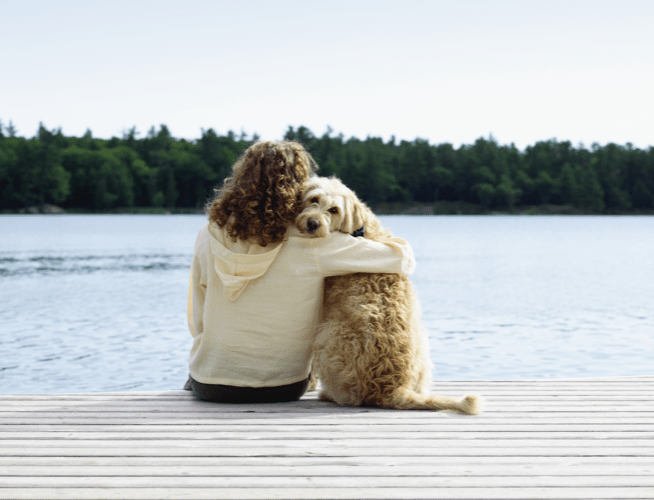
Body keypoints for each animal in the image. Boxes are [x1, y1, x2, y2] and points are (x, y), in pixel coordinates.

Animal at [298, 177, 482, 414]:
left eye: (334, 210)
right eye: (314, 199)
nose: (313, 223)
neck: (360, 229)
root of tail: (392, 388)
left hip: (328, 334)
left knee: (349, 397)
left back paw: (328, 394)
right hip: (422, 341)